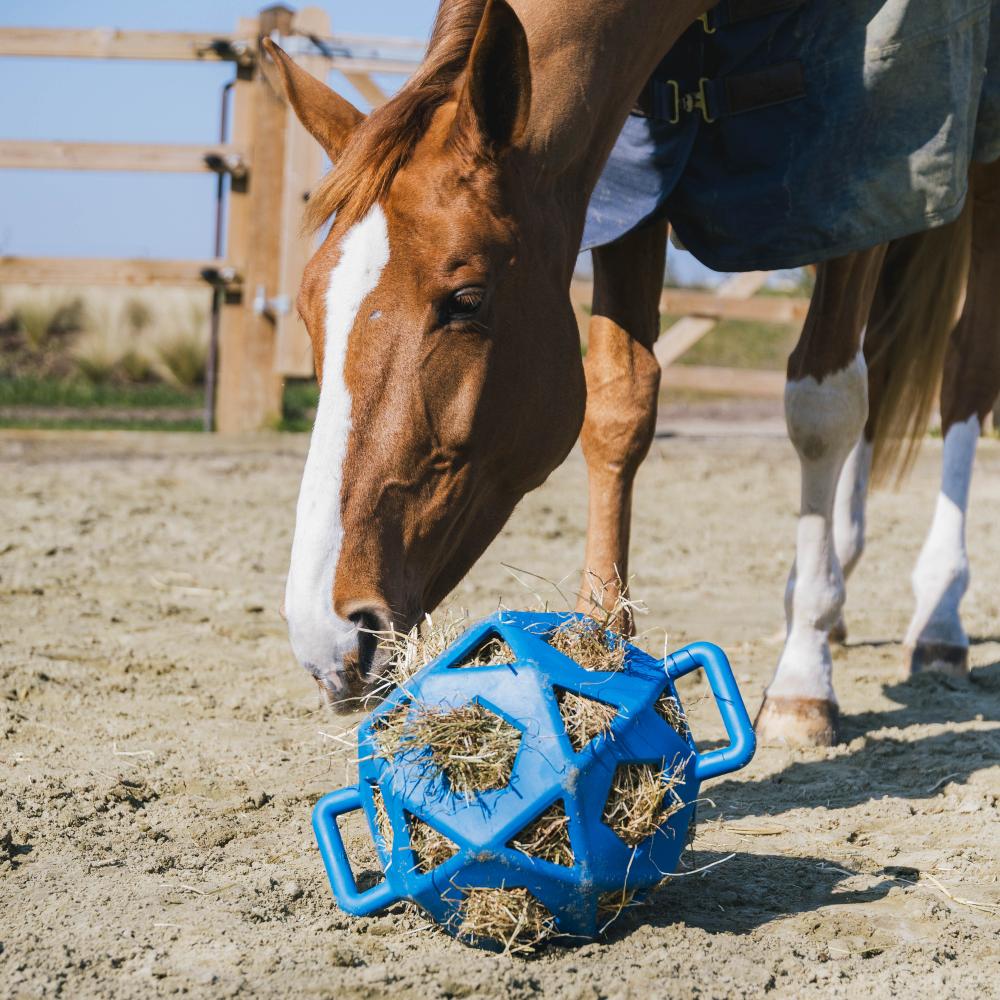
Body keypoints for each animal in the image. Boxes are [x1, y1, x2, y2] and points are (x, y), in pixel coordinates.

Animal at [268, 0, 998, 747]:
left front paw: (803, 678)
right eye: (307, 308)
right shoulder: (632, 173)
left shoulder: (853, 165)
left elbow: (822, 410)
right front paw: (597, 645)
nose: (329, 637)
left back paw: (938, 614)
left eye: (465, 300)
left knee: (965, 369)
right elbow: (618, 405)